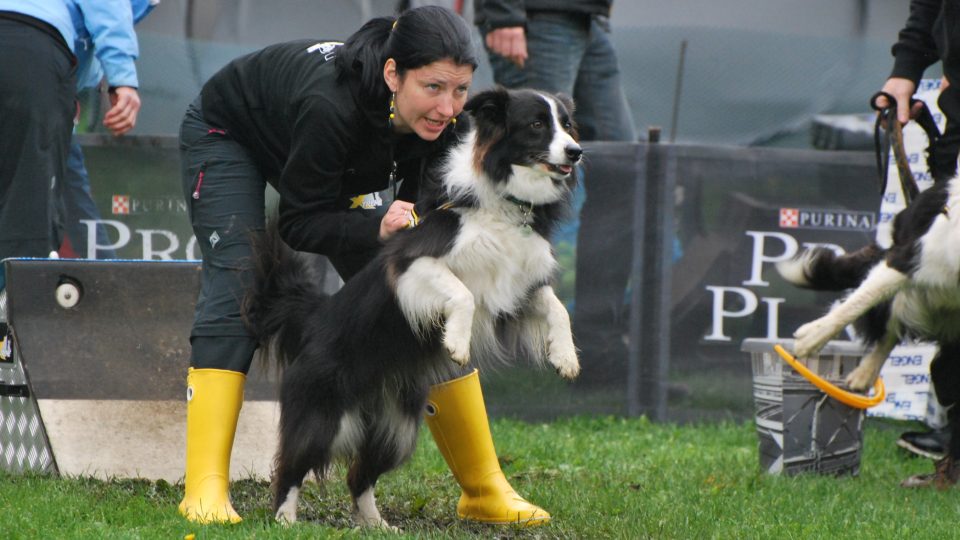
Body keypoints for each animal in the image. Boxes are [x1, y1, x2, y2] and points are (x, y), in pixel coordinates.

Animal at [244, 88, 580, 528]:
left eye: (568, 124)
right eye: (537, 124)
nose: (576, 152)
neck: (504, 199)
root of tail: (313, 319)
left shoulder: (518, 284)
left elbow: (558, 308)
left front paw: (565, 359)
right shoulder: (410, 262)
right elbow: (462, 293)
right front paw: (456, 344)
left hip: (396, 427)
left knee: (360, 474)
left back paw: (377, 526)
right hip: (326, 413)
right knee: (293, 463)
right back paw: (285, 519)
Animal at [776, 178, 960, 486]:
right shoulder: (913, 258)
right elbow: (861, 299)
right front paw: (811, 338)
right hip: (911, 296)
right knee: (888, 326)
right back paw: (863, 373)